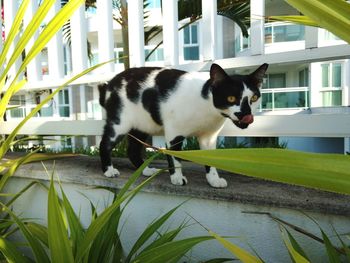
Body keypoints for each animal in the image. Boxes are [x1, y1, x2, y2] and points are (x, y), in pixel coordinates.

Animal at [98, 63, 268, 189]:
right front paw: (177, 177)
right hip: (120, 123)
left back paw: (145, 170)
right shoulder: (174, 133)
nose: (245, 114)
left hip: (142, 125)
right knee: (104, 143)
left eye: (254, 98)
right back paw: (109, 170)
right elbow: (175, 157)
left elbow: (210, 160)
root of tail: (110, 83)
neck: (206, 105)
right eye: (231, 98)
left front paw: (213, 179)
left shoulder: (209, 138)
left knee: (132, 149)